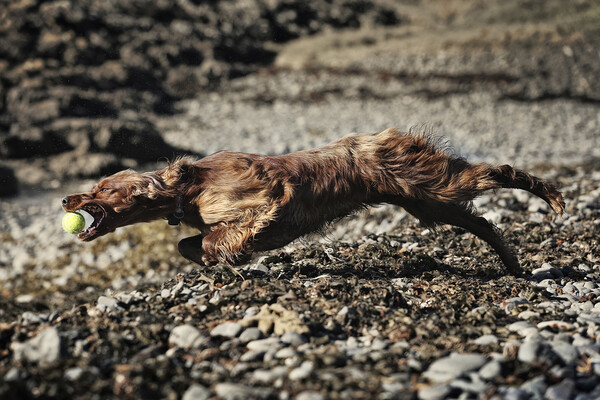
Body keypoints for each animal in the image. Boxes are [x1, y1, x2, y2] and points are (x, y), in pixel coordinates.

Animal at [61, 128, 564, 276]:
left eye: (102, 188)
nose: (66, 198)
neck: (189, 187)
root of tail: (392, 135)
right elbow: (191, 243)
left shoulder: (267, 199)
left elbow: (220, 237)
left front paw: (225, 255)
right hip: (429, 203)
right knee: (484, 224)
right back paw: (513, 265)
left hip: (436, 186)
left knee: (495, 174)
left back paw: (552, 196)